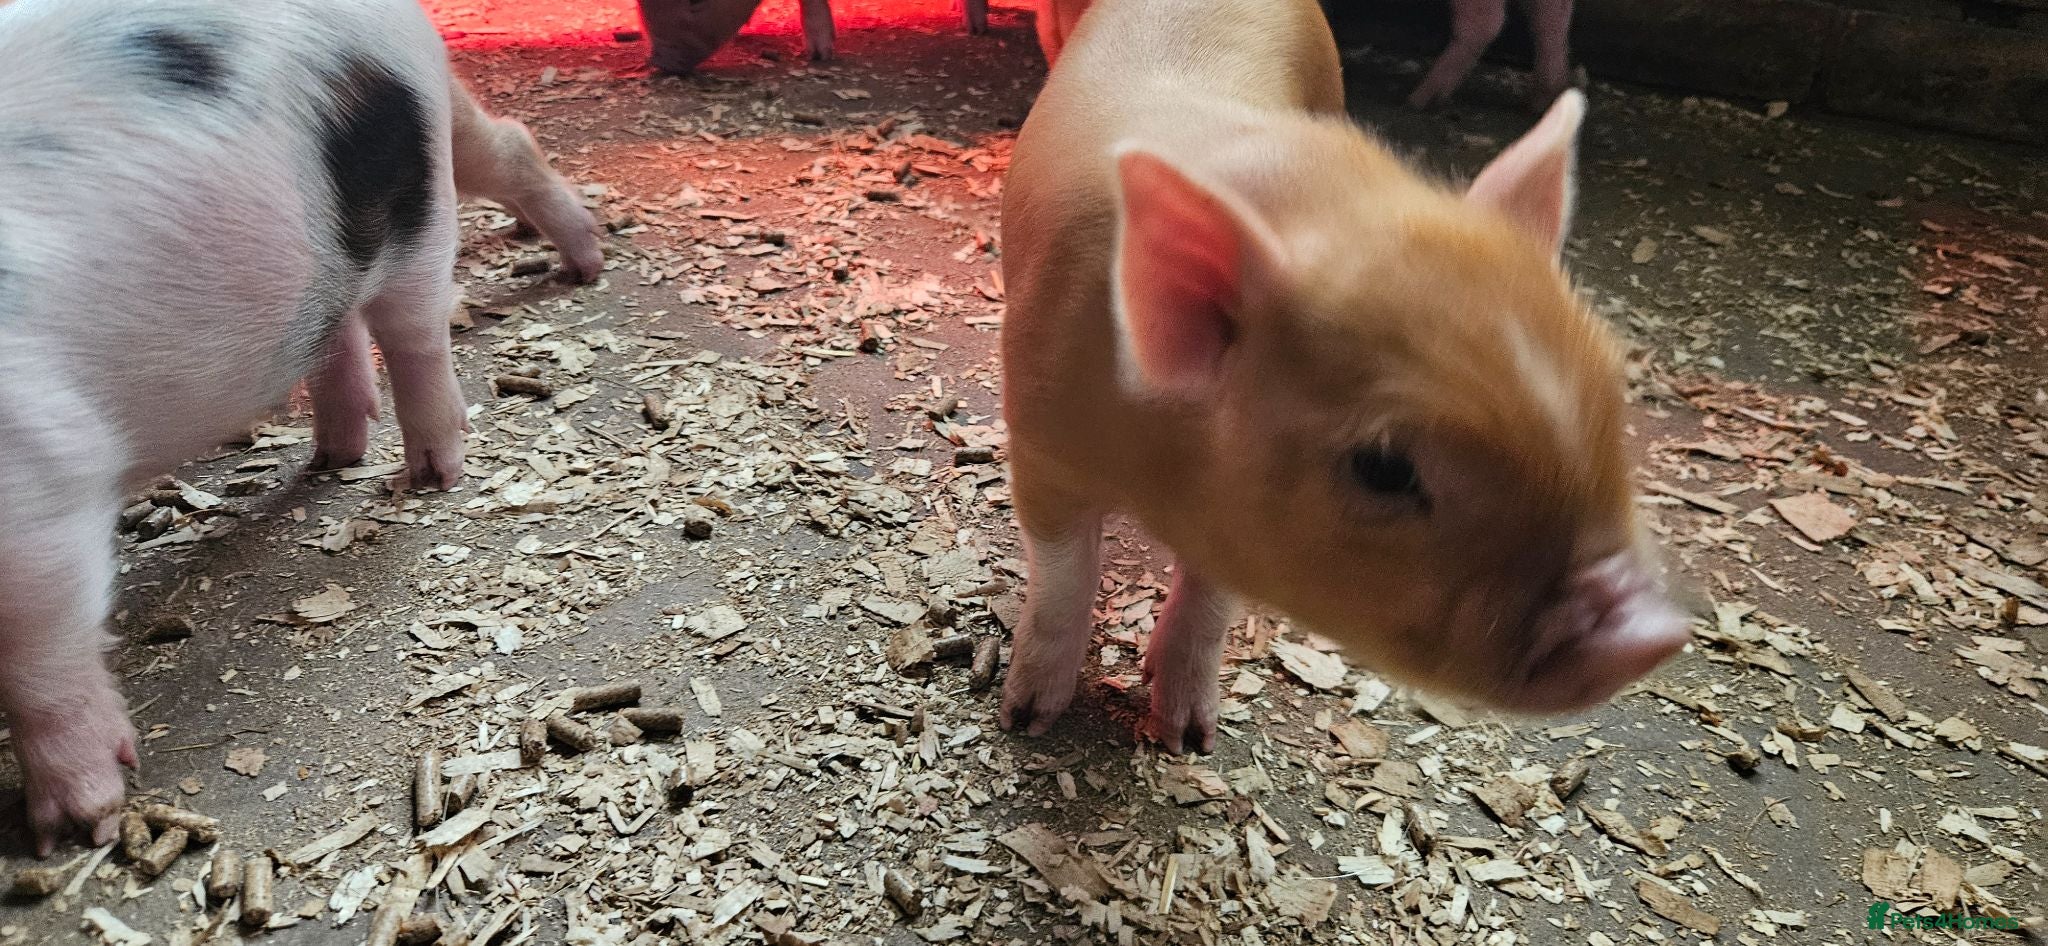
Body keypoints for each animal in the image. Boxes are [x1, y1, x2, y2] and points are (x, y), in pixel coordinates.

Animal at [0, 0, 602, 851]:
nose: (85, 831)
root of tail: (406, 25)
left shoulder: (38, 480)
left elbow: (36, 658)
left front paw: (80, 825)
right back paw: (334, 454)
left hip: (405, 205)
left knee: (416, 331)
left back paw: (439, 463)